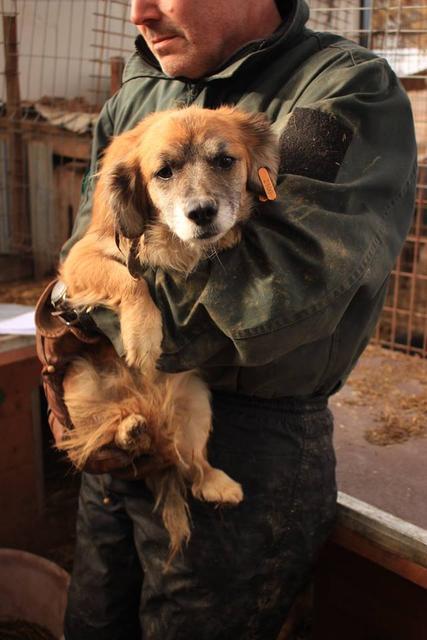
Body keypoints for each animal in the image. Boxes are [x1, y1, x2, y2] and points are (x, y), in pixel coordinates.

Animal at [57, 106, 280, 556]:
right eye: (163, 172)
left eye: (225, 160)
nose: (202, 213)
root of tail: (147, 407)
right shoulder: (83, 255)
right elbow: (129, 279)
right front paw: (142, 336)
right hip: (79, 385)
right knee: (102, 435)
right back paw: (129, 429)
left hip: (196, 401)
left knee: (191, 463)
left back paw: (212, 479)